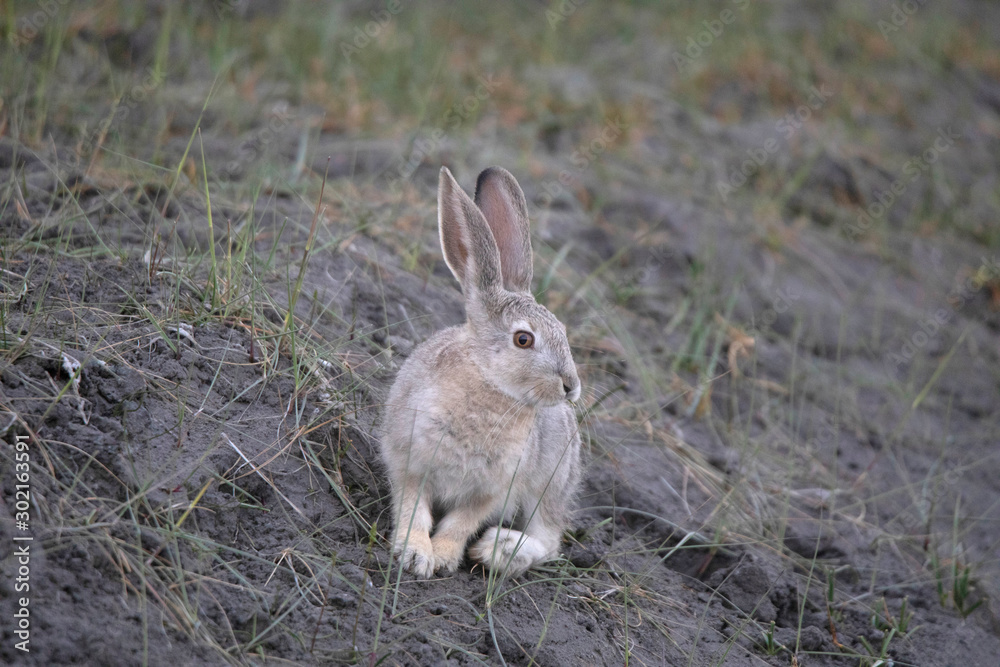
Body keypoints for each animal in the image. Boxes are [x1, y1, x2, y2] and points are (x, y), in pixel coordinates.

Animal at [381, 166, 582, 579]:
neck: (489, 386)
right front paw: (414, 555)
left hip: (552, 481)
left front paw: (442, 557)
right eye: (523, 339)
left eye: (564, 333)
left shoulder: (493, 490)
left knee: (549, 539)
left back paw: (500, 550)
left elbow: (461, 523)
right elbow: (413, 510)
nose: (571, 387)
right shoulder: (409, 462)